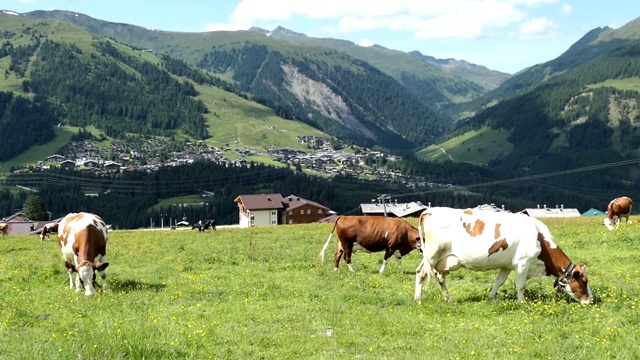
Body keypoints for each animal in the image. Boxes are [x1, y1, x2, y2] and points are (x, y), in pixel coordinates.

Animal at [412, 208, 592, 304]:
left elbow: (499, 282)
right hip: (433, 253)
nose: (591, 300)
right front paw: (522, 302)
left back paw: (447, 298)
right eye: (584, 281)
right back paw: (418, 299)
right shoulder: (522, 263)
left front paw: (491, 297)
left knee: (439, 277)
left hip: (441, 260)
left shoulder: (507, 265)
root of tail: (429, 210)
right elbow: (520, 285)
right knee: (421, 273)